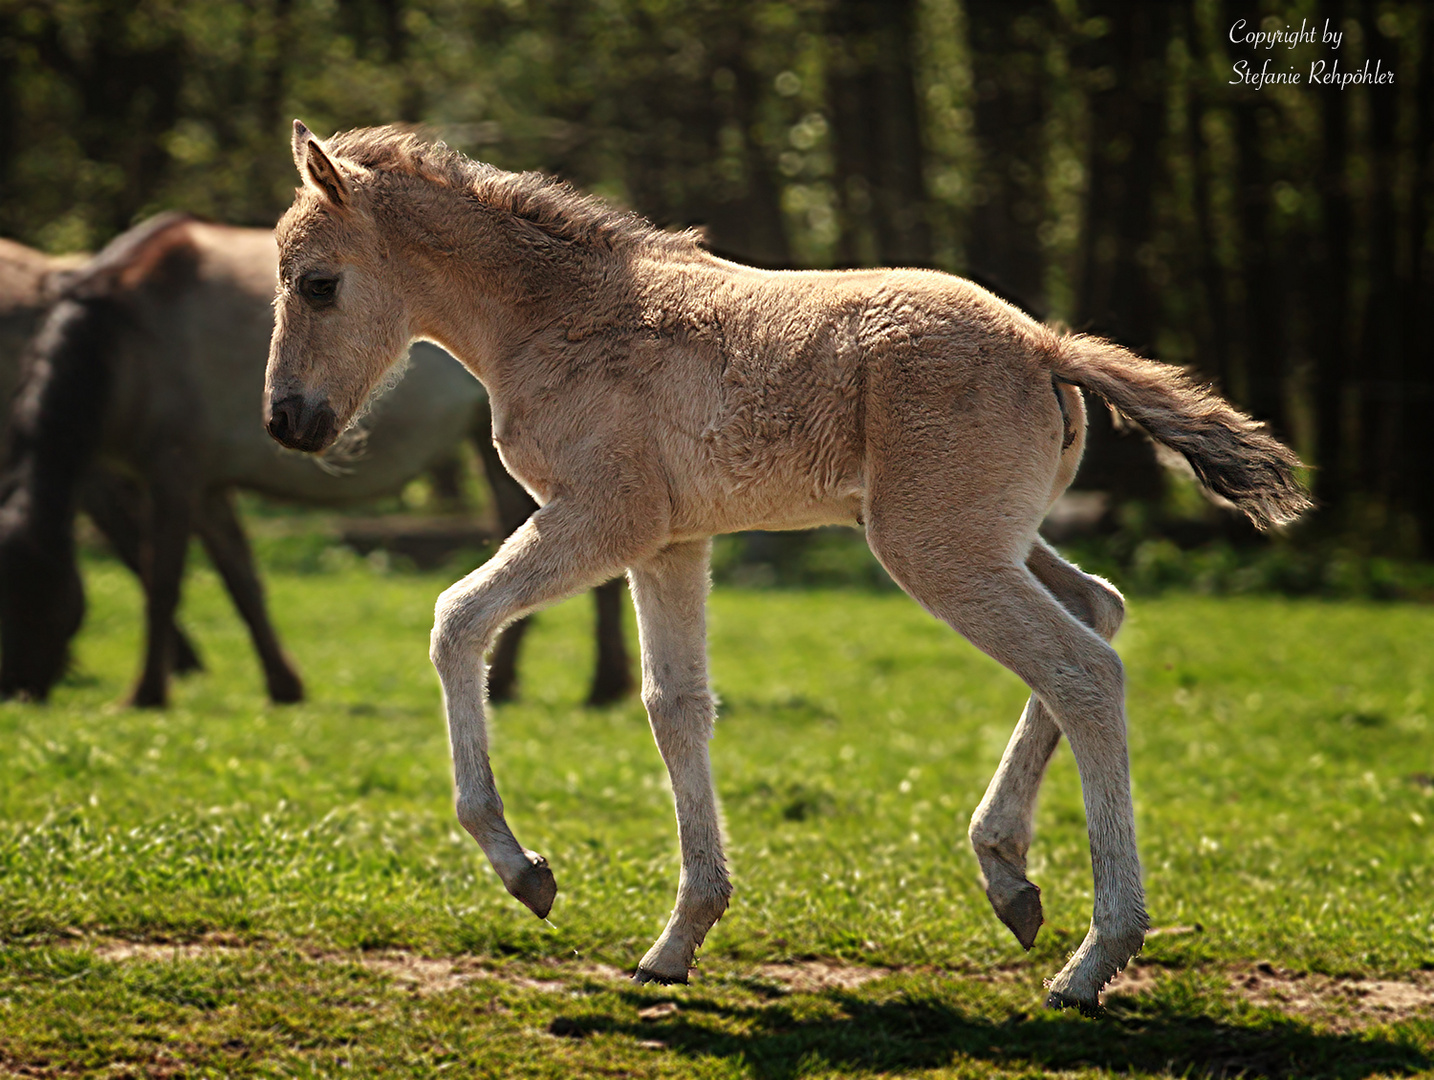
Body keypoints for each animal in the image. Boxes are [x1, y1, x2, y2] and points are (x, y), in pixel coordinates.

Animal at [0, 213, 630, 708]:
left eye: (31, 596)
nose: (18, 692)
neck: (126, 337)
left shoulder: (171, 473)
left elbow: (162, 579)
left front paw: (147, 694)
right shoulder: (203, 484)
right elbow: (240, 581)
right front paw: (282, 685)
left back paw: (603, 685)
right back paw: (516, 679)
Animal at [266, 121, 1313, 1015]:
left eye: (316, 283)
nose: (286, 421)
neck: (559, 317)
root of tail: (1044, 344)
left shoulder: (603, 518)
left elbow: (457, 620)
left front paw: (525, 871)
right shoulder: (670, 542)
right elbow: (675, 706)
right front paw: (677, 941)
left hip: (936, 549)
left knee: (1081, 669)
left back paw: (1093, 959)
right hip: (990, 540)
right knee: (1097, 609)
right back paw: (1008, 875)